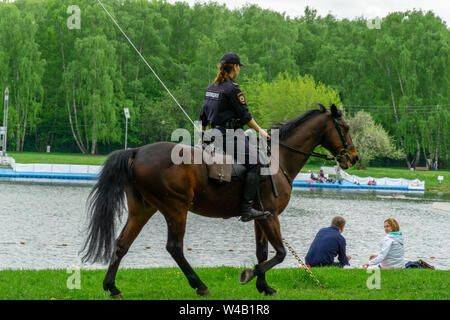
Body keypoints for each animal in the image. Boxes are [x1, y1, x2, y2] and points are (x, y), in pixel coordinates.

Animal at [79, 104, 356, 298]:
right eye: (344, 127)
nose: (353, 157)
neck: (278, 159)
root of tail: (137, 152)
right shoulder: (271, 216)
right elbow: (279, 253)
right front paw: (249, 275)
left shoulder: (261, 217)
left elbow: (262, 252)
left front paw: (264, 287)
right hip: (175, 208)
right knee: (174, 247)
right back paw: (199, 285)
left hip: (142, 210)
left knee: (122, 243)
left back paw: (112, 287)